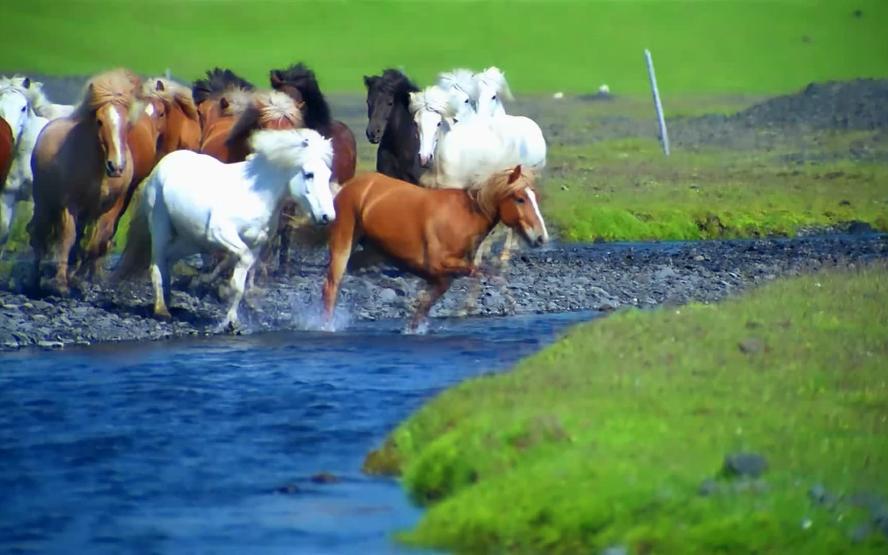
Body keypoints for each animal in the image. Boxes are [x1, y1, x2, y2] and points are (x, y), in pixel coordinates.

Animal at [28, 68, 139, 296]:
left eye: (126, 122)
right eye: (100, 121)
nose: (116, 166)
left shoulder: (110, 208)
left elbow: (97, 243)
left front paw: (79, 279)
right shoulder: (68, 205)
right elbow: (66, 239)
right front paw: (60, 283)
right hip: (43, 201)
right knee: (39, 234)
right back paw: (34, 279)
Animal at [117, 129, 336, 330]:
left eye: (328, 175)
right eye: (309, 174)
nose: (328, 216)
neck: (256, 193)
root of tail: (161, 166)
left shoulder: (255, 245)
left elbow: (239, 282)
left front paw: (231, 321)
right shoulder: (220, 234)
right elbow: (239, 266)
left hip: (190, 240)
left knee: (168, 260)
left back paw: (172, 300)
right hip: (161, 228)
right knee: (157, 264)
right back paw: (162, 310)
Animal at [322, 165, 548, 330]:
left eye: (535, 197)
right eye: (520, 198)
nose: (541, 238)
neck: (465, 217)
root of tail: (348, 186)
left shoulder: (442, 278)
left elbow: (424, 306)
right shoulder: (440, 266)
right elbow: (492, 276)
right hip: (343, 243)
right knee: (331, 287)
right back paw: (327, 326)